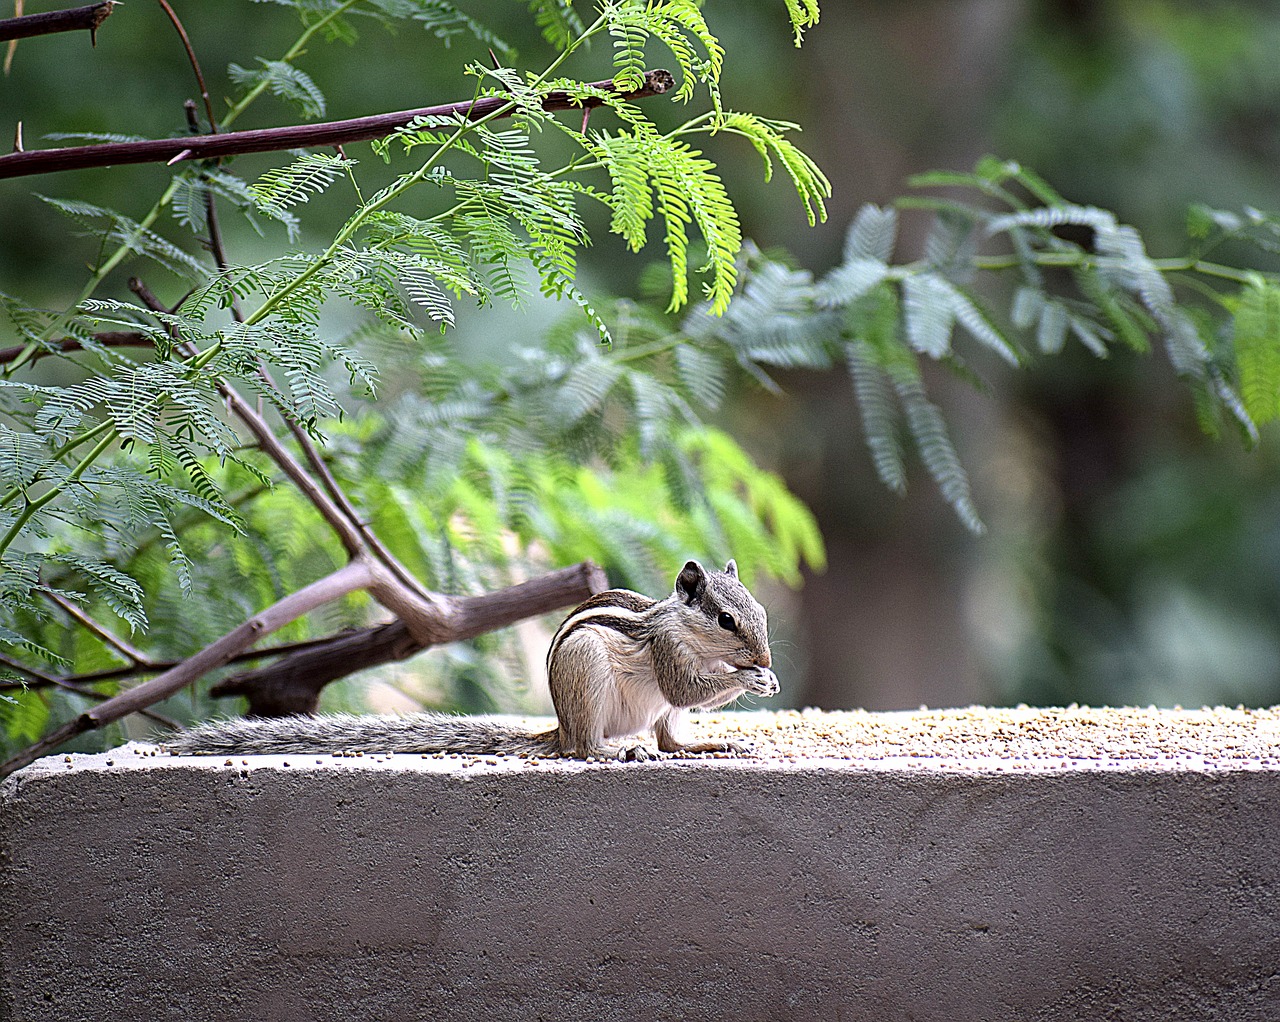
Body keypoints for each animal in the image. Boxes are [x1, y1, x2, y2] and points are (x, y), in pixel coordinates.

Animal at [162, 560, 778, 758]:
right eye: (727, 620)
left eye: (763, 612)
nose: (766, 655)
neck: (685, 628)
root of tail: (559, 726)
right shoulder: (670, 652)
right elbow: (686, 687)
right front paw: (750, 677)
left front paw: (764, 676)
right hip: (587, 683)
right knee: (582, 748)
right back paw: (614, 749)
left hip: (657, 719)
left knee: (670, 738)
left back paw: (704, 745)